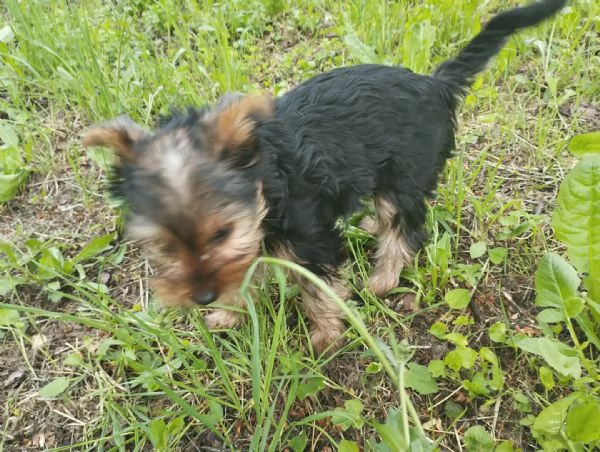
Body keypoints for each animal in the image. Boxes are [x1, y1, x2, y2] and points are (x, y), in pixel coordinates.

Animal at [84, 0, 568, 354]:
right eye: (164, 246)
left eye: (222, 232)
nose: (202, 297)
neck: (265, 177)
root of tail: (436, 84)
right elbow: (242, 272)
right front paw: (229, 312)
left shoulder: (309, 237)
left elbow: (320, 288)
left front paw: (325, 335)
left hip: (404, 175)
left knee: (404, 227)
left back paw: (382, 279)